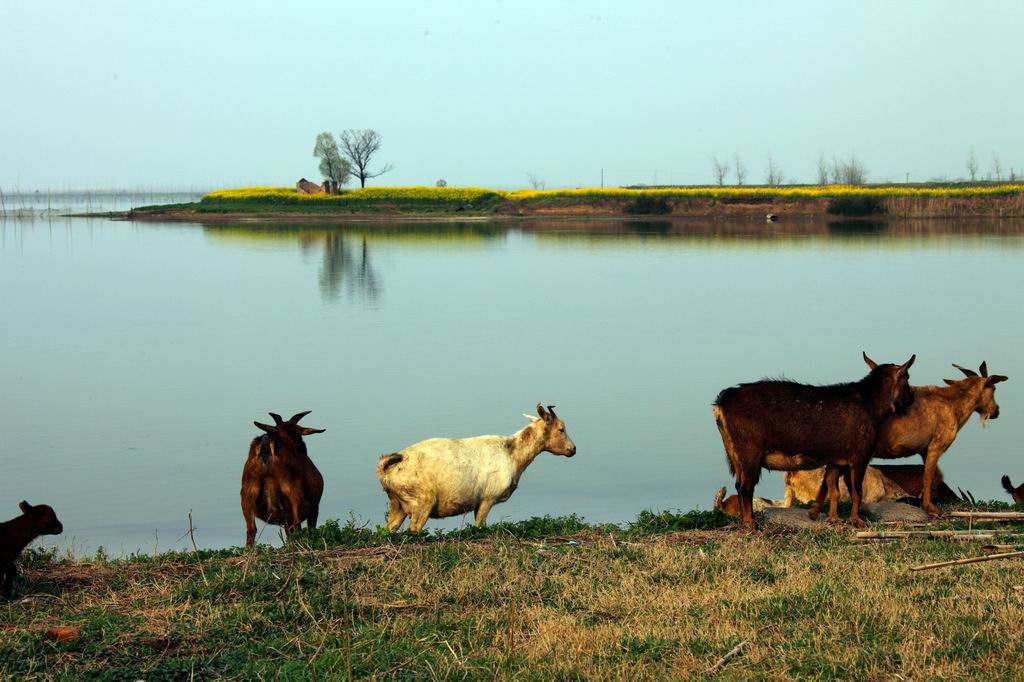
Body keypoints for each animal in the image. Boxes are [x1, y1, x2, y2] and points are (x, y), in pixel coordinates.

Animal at [239, 409, 323, 548]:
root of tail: (266, 444)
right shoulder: (314, 508)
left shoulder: (285, 519)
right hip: (293, 491)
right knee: (297, 526)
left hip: (247, 493)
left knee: (251, 529)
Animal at [376, 403, 577, 532]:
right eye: (561, 429)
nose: (573, 449)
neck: (512, 453)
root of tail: (387, 469)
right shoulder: (488, 498)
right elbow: (481, 525)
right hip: (421, 501)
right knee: (413, 530)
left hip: (397, 503)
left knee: (388, 529)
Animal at [716, 350, 917, 524]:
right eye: (907, 377)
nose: (910, 400)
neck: (870, 404)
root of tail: (722, 403)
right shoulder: (860, 456)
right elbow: (856, 492)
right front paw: (856, 520)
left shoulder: (836, 459)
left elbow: (832, 490)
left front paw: (828, 517)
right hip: (751, 452)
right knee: (746, 488)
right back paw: (751, 524)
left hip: (736, 454)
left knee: (739, 485)